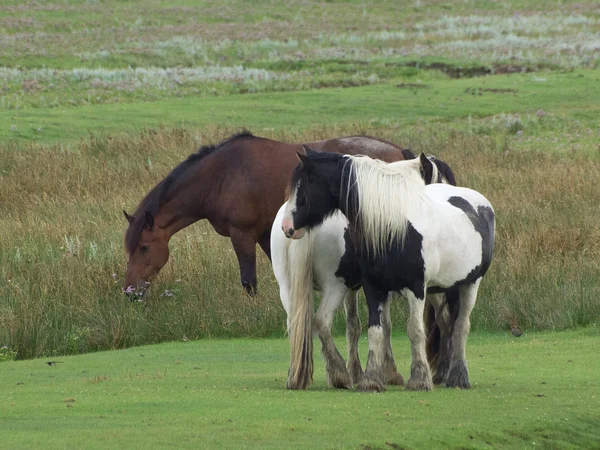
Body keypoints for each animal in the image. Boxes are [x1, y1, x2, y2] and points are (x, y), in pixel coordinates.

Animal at [278, 147, 494, 390]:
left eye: (302, 186)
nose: (287, 227)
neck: (396, 226)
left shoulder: (416, 288)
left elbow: (415, 330)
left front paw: (417, 378)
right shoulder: (375, 288)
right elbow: (377, 330)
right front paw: (372, 379)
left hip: (471, 283)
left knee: (462, 325)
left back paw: (457, 377)